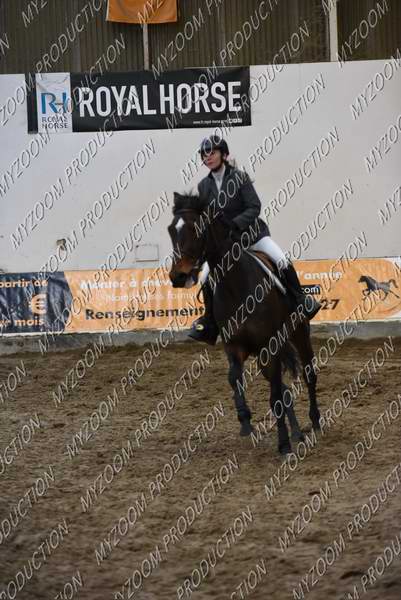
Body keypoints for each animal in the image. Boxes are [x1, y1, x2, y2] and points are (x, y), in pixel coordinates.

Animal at [167, 193, 321, 456]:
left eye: (196, 229)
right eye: (170, 230)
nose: (178, 276)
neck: (236, 285)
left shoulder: (270, 346)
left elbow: (276, 396)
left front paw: (283, 444)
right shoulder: (234, 346)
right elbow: (234, 378)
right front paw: (245, 420)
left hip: (297, 335)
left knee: (308, 374)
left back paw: (316, 422)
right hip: (262, 355)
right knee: (284, 388)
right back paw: (297, 432)